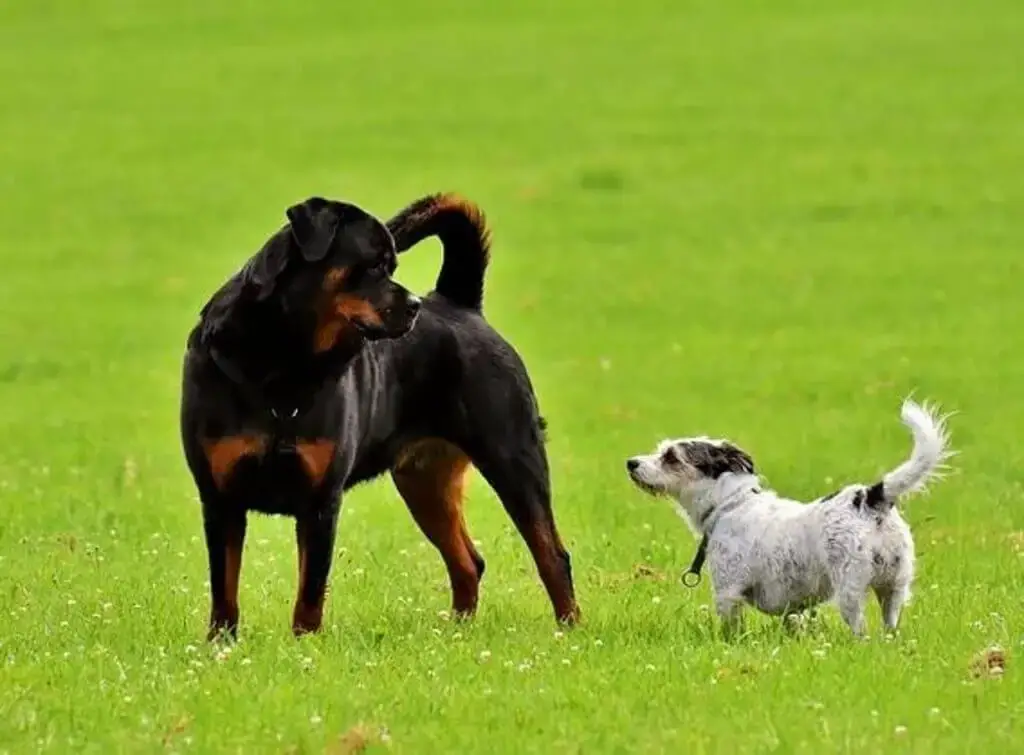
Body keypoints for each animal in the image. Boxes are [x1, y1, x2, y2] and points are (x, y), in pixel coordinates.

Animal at [181, 192, 581, 635]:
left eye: (393, 266)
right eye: (374, 265)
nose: (415, 305)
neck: (283, 363)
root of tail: (460, 303)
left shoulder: (321, 502)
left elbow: (309, 592)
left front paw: (304, 642)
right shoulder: (220, 499)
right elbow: (224, 589)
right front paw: (221, 642)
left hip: (512, 457)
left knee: (551, 554)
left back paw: (569, 629)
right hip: (424, 482)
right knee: (468, 562)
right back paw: (457, 630)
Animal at [622, 397, 950, 635]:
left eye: (671, 457)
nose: (631, 463)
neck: (731, 504)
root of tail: (871, 497)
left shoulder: (728, 593)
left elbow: (731, 631)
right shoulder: (793, 607)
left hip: (851, 589)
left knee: (861, 631)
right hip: (894, 589)